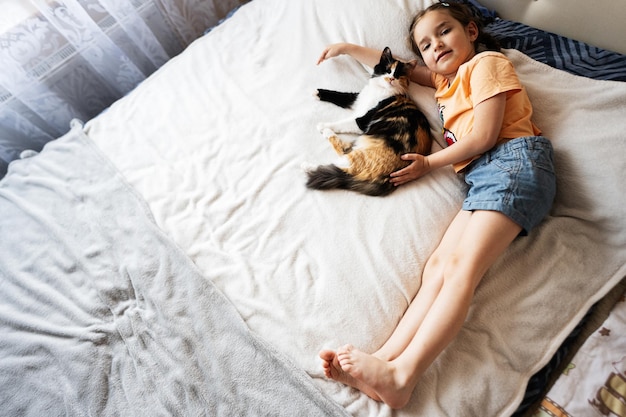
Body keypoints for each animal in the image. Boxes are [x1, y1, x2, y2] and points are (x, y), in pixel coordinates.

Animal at [304, 47, 432, 197]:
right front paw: (317, 92)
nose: (391, 78)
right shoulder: (356, 99)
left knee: (343, 162)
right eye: (387, 70)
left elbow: (342, 123)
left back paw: (309, 161)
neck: (380, 90)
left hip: (362, 155)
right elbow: (339, 95)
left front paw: (324, 124)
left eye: (398, 75)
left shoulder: (361, 121)